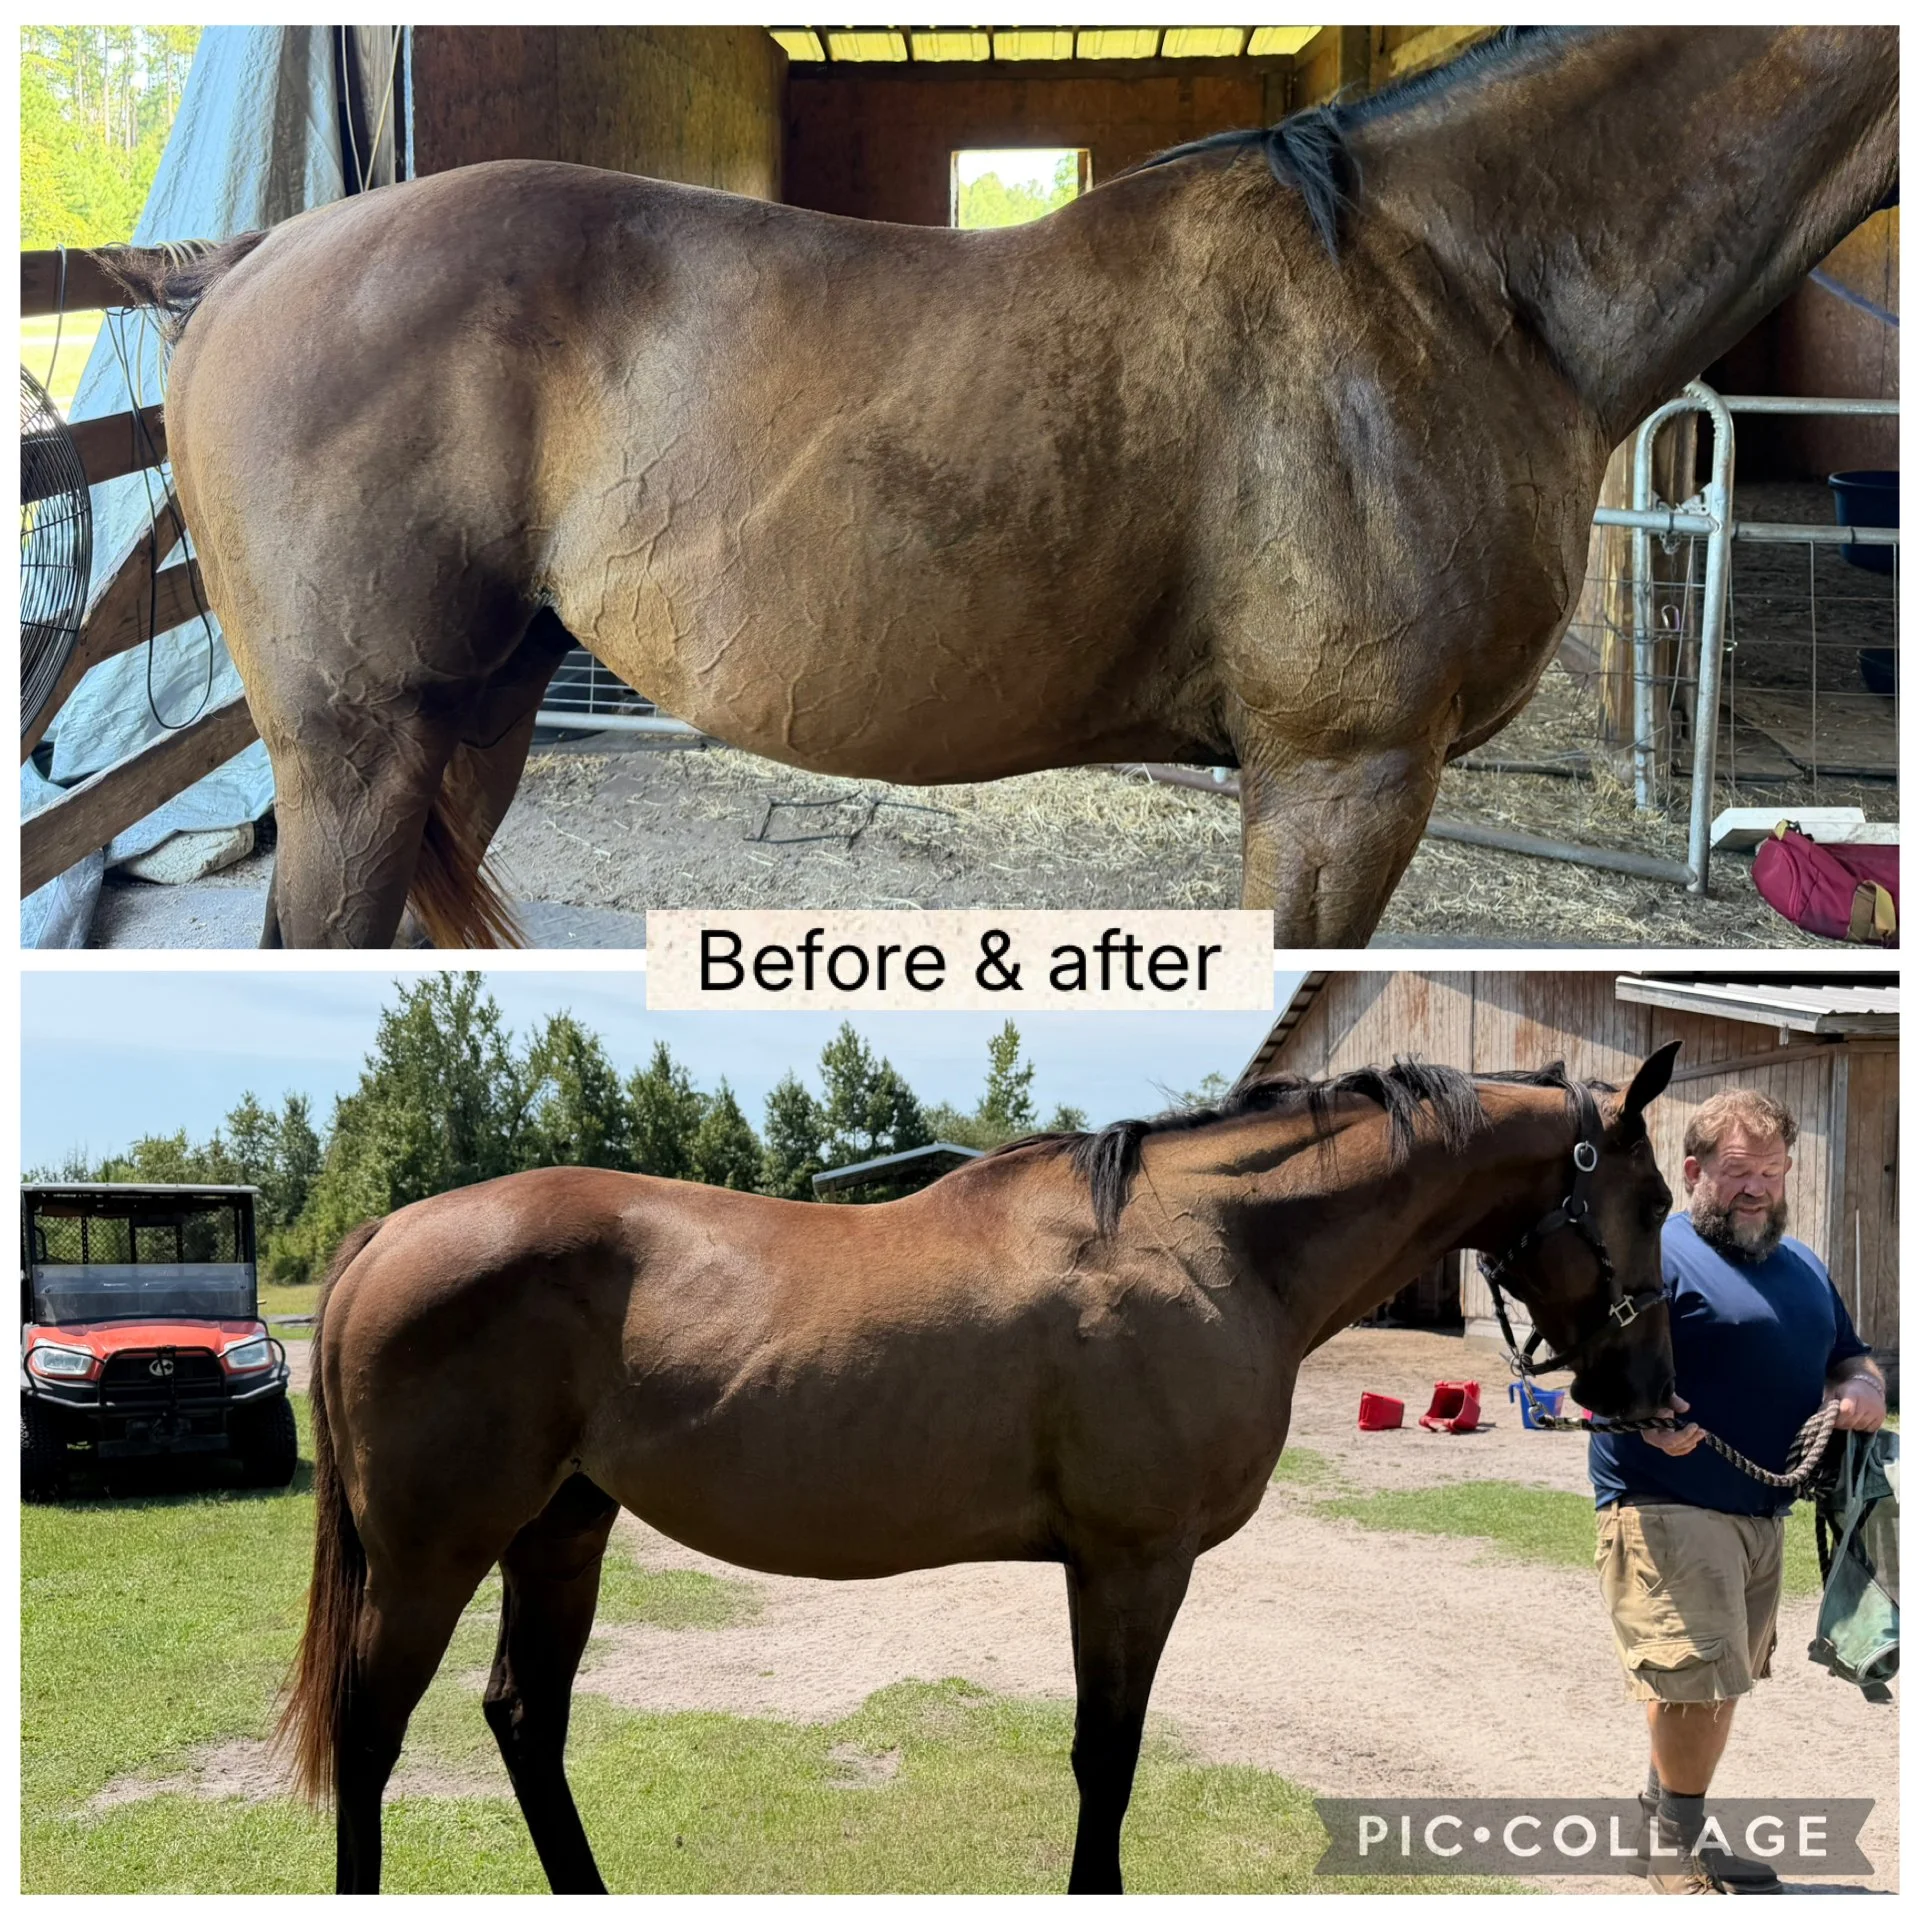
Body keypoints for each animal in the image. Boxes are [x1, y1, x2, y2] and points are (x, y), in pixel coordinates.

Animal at [279, 1043, 1682, 1892]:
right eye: (1658, 1201)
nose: (1652, 1391)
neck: (1212, 1241)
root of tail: (392, 1231)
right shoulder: (1133, 1566)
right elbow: (1107, 1759)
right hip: (433, 1558)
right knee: (371, 1731)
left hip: (562, 1533)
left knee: (526, 1717)